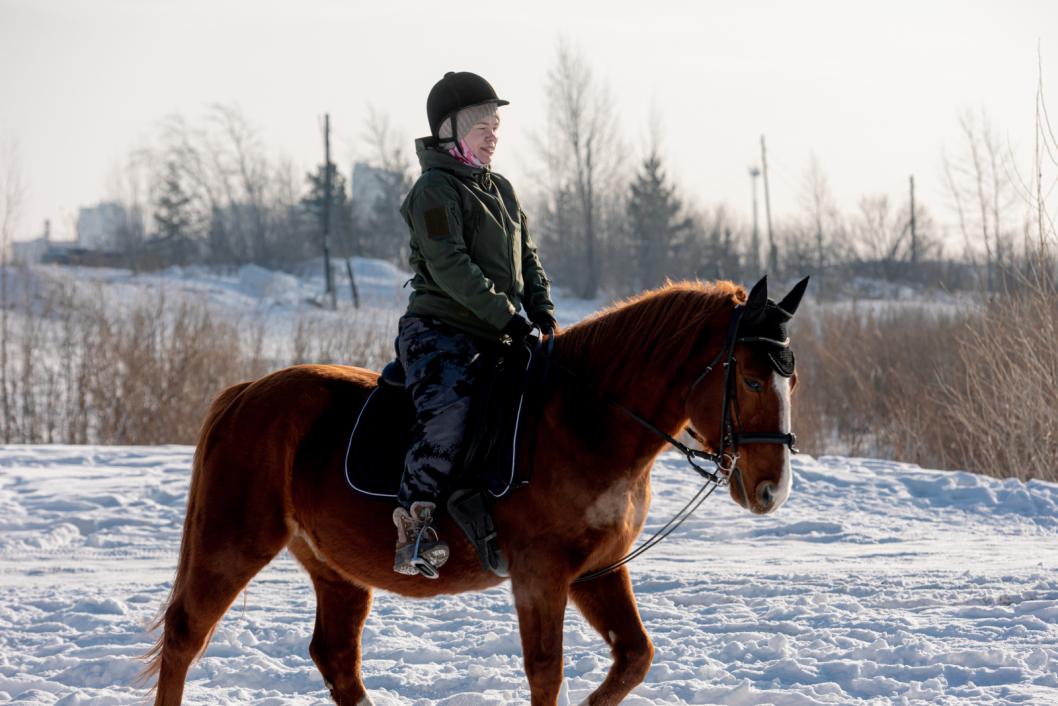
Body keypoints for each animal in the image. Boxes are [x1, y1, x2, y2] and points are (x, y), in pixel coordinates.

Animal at [144, 275, 804, 706]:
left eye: (789, 378)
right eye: (750, 379)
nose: (770, 490)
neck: (584, 421)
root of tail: (249, 393)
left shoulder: (599, 569)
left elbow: (633, 657)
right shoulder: (540, 573)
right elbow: (546, 671)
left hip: (335, 568)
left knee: (336, 658)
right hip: (232, 543)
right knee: (184, 637)